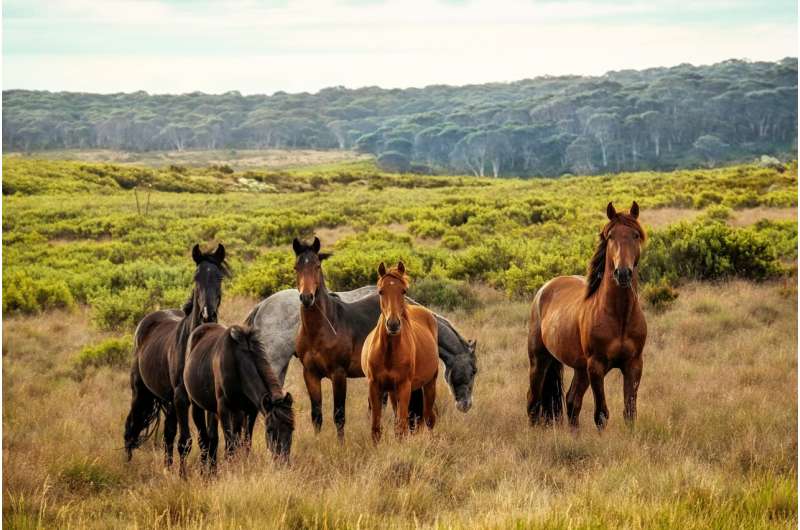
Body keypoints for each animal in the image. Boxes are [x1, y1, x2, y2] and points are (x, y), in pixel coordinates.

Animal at [123, 243, 228, 475]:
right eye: (196, 277)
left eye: (219, 277)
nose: (208, 314)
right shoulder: (182, 398)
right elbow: (186, 441)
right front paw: (184, 477)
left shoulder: (205, 400)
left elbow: (210, 439)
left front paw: (210, 473)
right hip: (141, 393)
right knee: (131, 427)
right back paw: (127, 465)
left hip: (168, 401)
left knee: (168, 435)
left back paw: (167, 468)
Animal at [183, 323, 295, 469]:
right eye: (269, 430)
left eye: (292, 429)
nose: (283, 462)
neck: (237, 362)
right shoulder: (224, 408)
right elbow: (230, 444)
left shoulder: (250, 410)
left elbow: (245, 442)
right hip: (197, 406)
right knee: (203, 439)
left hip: (222, 410)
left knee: (214, 438)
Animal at [362, 262, 439, 442]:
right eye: (381, 291)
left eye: (403, 290)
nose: (393, 324)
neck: (389, 352)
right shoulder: (375, 386)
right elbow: (376, 428)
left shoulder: (404, 387)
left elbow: (401, 426)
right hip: (392, 391)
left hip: (430, 383)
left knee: (429, 418)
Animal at [527, 201, 647, 430]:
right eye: (611, 236)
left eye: (635, 235)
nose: (623, 273)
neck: (619, 316)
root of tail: (544, 289)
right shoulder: (596, 367)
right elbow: (601, 414)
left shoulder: (633, 365)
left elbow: (630, 412)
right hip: (539, 360)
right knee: (533, 401)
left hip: (580, 368)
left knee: (572, 401)